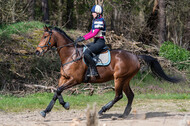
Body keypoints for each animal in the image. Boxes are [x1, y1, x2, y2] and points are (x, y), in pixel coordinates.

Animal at [35, 25, 180, 118]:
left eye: (45, 36)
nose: (37, 52)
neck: (71, 55)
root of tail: (135, 56)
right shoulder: (64, 78)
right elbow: (56, 91)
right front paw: (46, 110)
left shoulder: (75, 80)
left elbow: (59, 90)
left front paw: (65, 105)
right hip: (125, 80)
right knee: (130, 95)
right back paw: (124, 114)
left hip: (119, 79)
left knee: (119, 95)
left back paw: (102, 110)